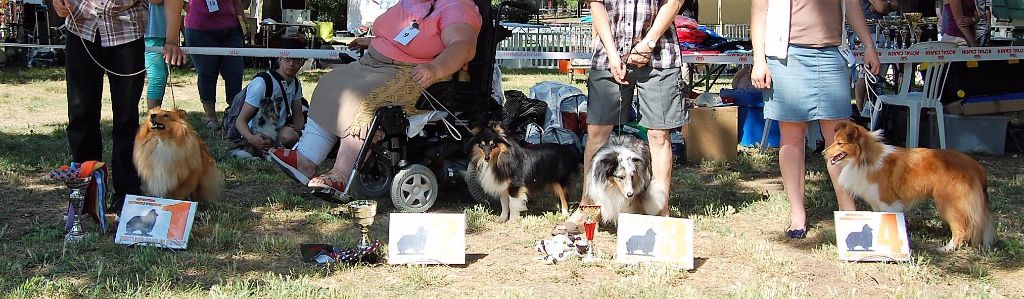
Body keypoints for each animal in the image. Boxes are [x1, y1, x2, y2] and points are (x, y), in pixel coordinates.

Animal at [827, 122, 995, 250]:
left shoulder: (889, 202)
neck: (865, 159)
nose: (824, 152)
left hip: (948, 203)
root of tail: (977, 167)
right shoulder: (877, 202)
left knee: (961, 229)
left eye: (839, 143)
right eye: (834, 141)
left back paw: (946, 248)